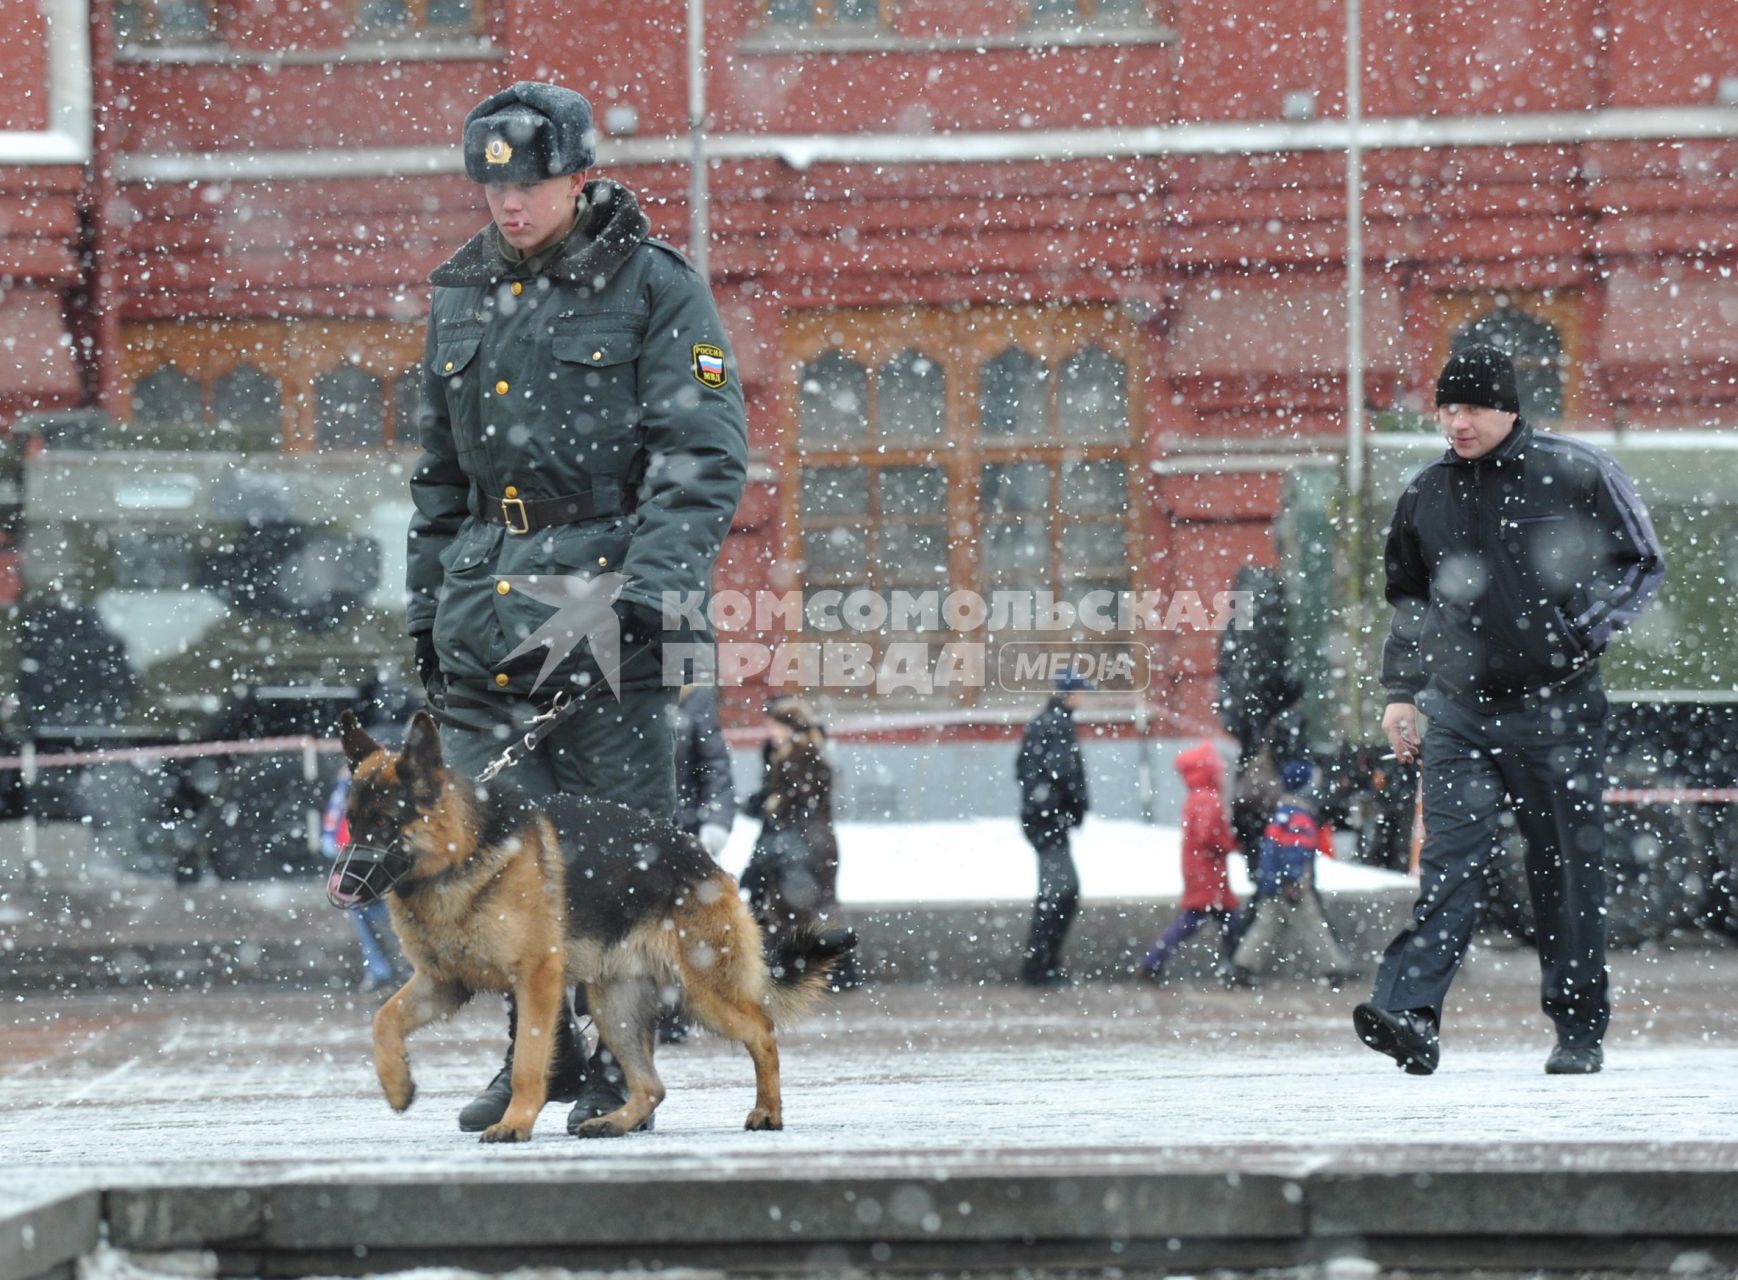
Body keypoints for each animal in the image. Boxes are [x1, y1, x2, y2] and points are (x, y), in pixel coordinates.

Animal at [331, 716, 855, 1147]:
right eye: (352, 824)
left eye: (385, 825)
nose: (340, 888)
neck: (461, 856)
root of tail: (706, 861)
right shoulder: (444, 983)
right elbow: (383, 1020)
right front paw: (397, 1085)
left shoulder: (537, 979)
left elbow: (527, 1060)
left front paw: (515, 1122)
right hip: (613, 1006)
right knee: (652, 1086)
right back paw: (614, 1121)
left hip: (703, 992)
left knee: (762, 1031)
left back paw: (768, 1111)